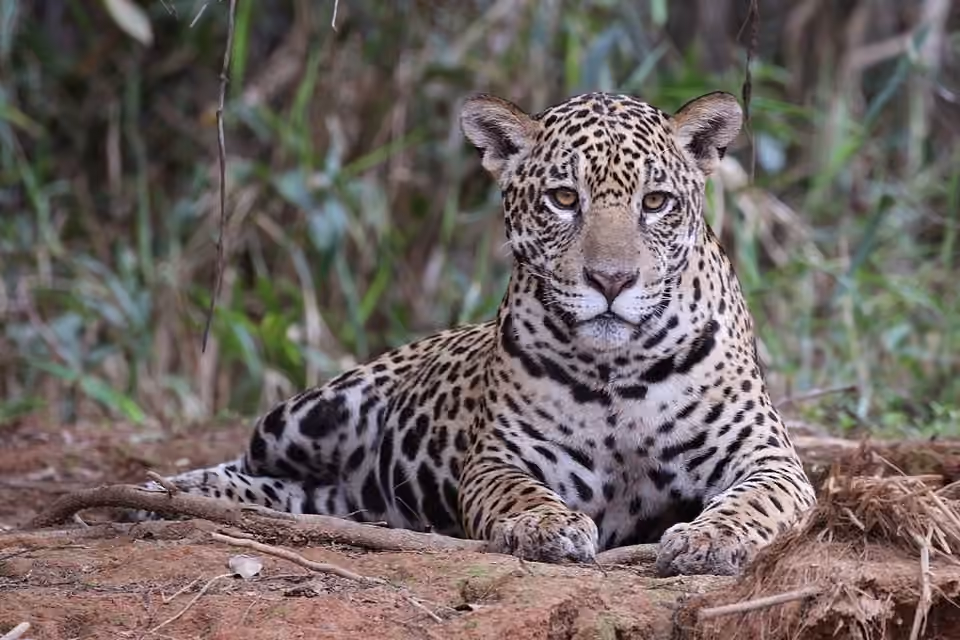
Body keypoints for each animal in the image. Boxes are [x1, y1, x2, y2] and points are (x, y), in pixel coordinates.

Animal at [152, 89, 816, 577]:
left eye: (655, 202)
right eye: (563, 198)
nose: (611, 279)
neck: (618, 368)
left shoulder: (769, 457)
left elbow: (754, 500)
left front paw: (711, 541)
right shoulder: (501, 457)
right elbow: (517, 493)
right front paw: (548, 526)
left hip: (333, 492)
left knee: (292, 496)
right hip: (305, 416)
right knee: (243, 464)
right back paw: (166, 494)